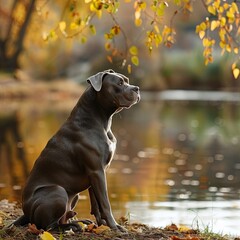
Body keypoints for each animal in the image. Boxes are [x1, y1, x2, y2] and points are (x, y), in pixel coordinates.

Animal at [12, 69, 141, 232]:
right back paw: (71, 227)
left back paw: (78, 222)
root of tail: (25, 212)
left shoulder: (96, 173)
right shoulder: (97, 171)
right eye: (119, 83)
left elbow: (96, 203)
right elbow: (105, 203)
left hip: (74, 195)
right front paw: (115, 227)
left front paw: (101, 225)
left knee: (62, 218)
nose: (137, 88)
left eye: (127, 80)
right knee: (49, 227)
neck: (99, 120)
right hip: (58, 191)